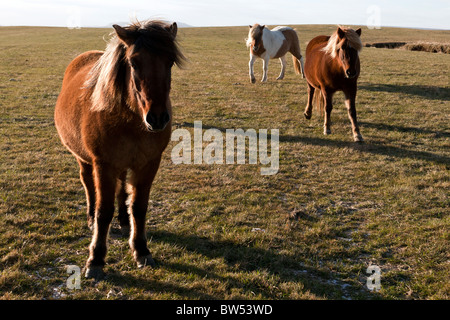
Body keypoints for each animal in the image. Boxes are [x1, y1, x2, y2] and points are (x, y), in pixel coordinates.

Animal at [54, 20, 185, 280]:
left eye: (170, 61)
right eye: (133, 62)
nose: (157, 118)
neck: (131, 120)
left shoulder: (148, 164)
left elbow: (138, 206)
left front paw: (141, 249)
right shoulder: (103, 164)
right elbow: (104, 210)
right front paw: (96, 258)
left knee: (122, 188)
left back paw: (124, 221)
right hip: (84, 160)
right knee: (89, 186)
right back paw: (90, 218)